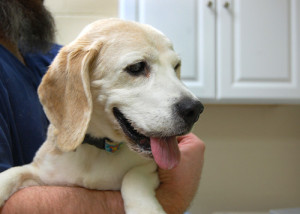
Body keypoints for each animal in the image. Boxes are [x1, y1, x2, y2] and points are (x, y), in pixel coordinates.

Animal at [0, 18, 204, 214]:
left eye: (176, 66)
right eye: (136, 67)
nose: (195, 110)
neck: (98, 149)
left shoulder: (150, 167)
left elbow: (134, 176)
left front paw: (145, 209)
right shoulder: (41, 171)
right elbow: (13, 173)